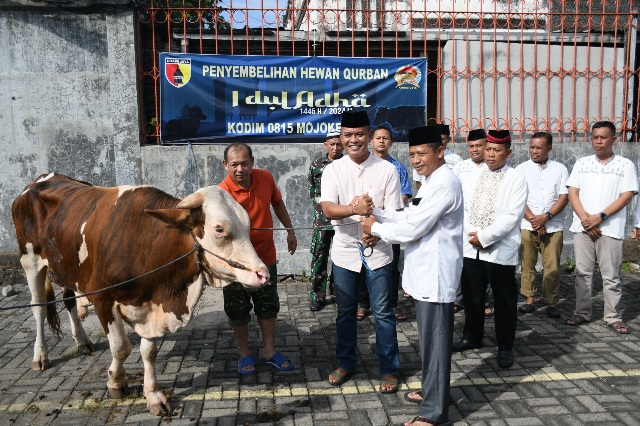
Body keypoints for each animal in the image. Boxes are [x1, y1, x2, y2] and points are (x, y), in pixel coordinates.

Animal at [13, 171, 268, 414]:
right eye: (219, 229)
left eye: (247, 225)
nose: (263, 274)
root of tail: (40, 181)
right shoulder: (102, 297)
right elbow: (121, 347)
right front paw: (116, 382)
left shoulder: (152, 305)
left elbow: (149, 351)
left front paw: (153, 395)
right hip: (30, 260)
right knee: (38, 307)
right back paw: (40, 355)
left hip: (65, 266)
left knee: (68, 300)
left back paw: (82, 340)